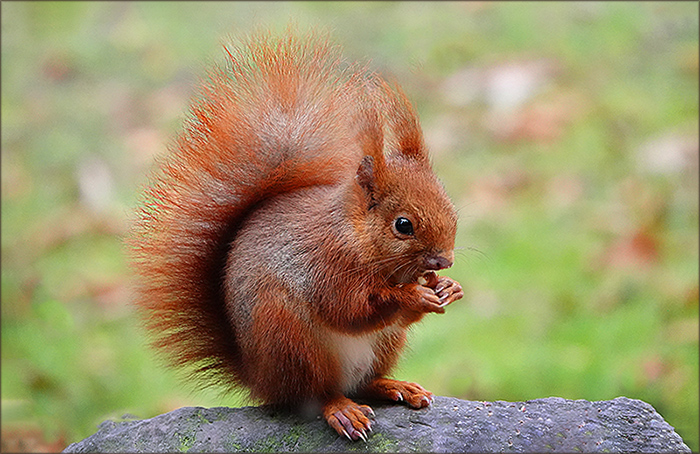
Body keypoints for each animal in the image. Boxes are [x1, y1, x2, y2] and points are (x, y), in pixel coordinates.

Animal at [129, 29, 464, 441]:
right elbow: (348, 309)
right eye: (403, 225)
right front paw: (413, 295)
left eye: (449, 202)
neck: (355, 236)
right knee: (315, 394)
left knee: (364, 382)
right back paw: (342, 410)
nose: (444, 260)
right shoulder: (323, 262)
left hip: (382, 345)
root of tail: (260, 380)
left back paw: (395, 386)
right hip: (289, 338)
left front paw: (447, 288)